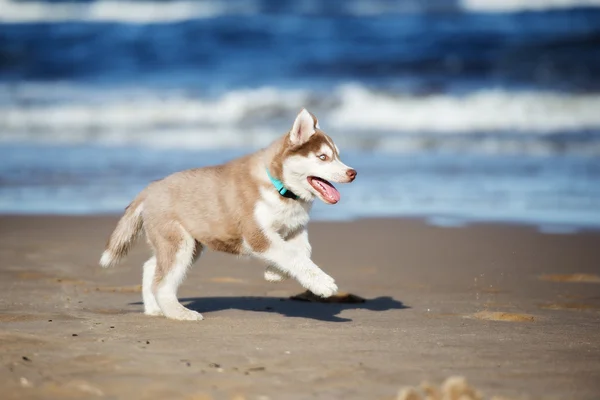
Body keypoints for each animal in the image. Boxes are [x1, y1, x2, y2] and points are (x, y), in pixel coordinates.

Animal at [99, 108, 356, 320]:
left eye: (337, 155)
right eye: (322, 157)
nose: (352, 172)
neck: (281, 188)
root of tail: (149, 189)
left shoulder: (294, 226)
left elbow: (302, 251)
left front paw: (274, 273)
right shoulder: (257, 235)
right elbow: (291, 255)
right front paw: (322, 283)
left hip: (188, 244)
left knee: (151, 268)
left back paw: (154, 309)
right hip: (178, 242)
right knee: (162, 283)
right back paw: (178, 313)